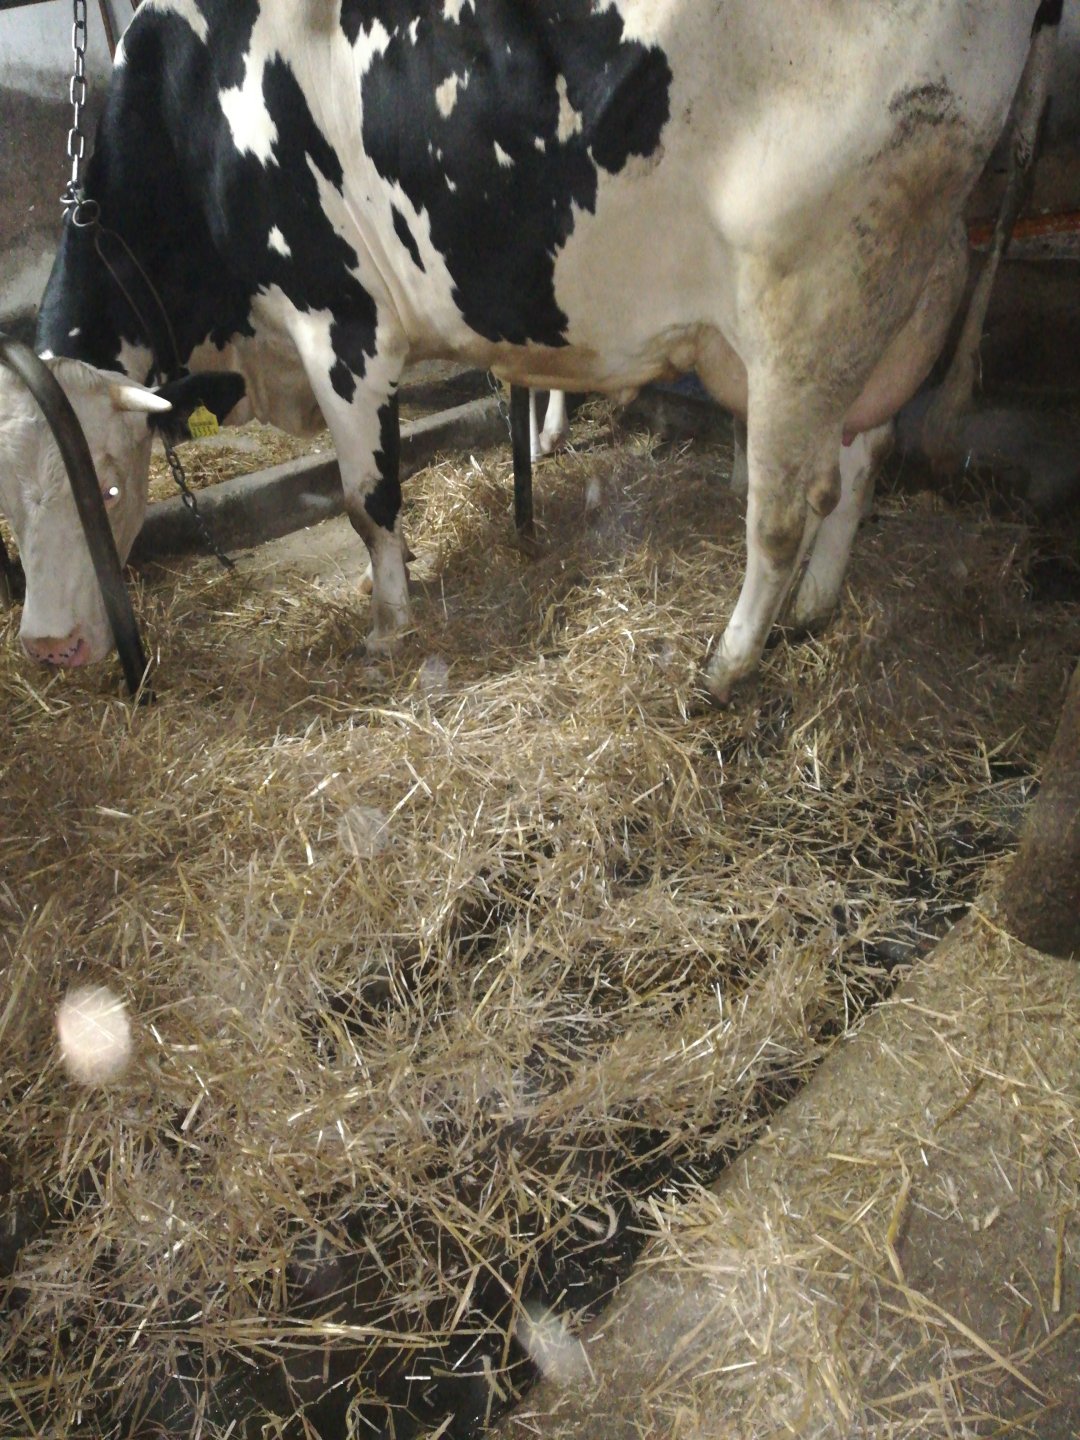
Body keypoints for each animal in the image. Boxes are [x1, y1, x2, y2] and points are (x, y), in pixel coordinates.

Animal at [0, 0, 1061, 701]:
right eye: (10, 508)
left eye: (105, 482)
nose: (47, 648)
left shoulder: (339, 321)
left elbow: (365, 499)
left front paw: (388, 626)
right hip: (894, 298)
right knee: (866, 452)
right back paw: (815, 609)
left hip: (807, 305)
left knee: (786, 510)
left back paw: (725, 665)